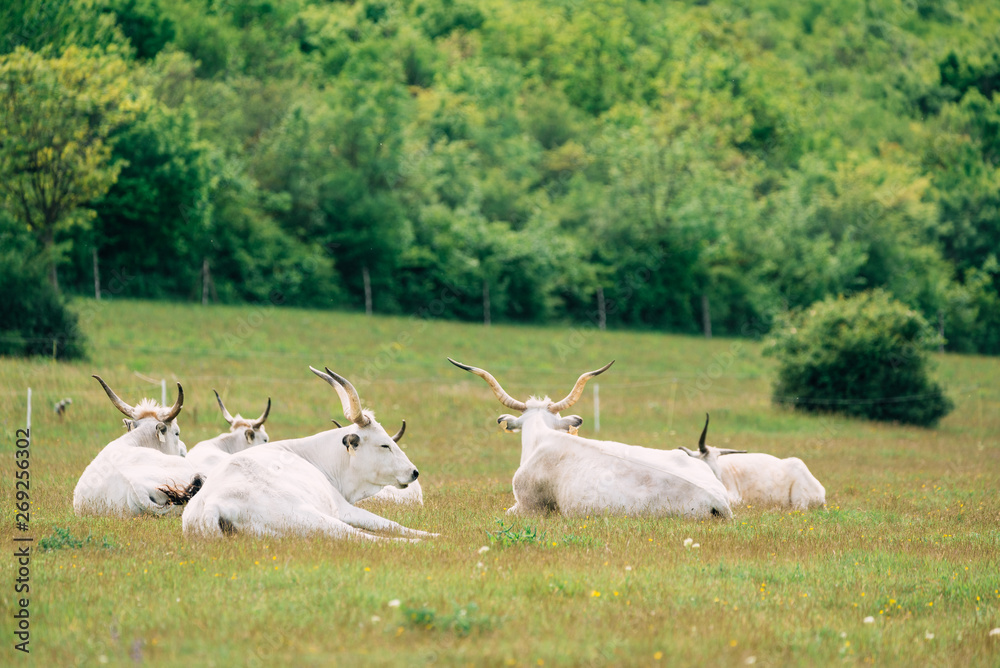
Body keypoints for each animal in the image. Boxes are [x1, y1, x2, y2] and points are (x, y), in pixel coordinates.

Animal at [181, 366, 434, 541]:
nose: (414, 472)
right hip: (313, 518)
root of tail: (211, 504)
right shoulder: (343, 508)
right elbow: (391, 524)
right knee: (363, 537)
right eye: (384, 445)